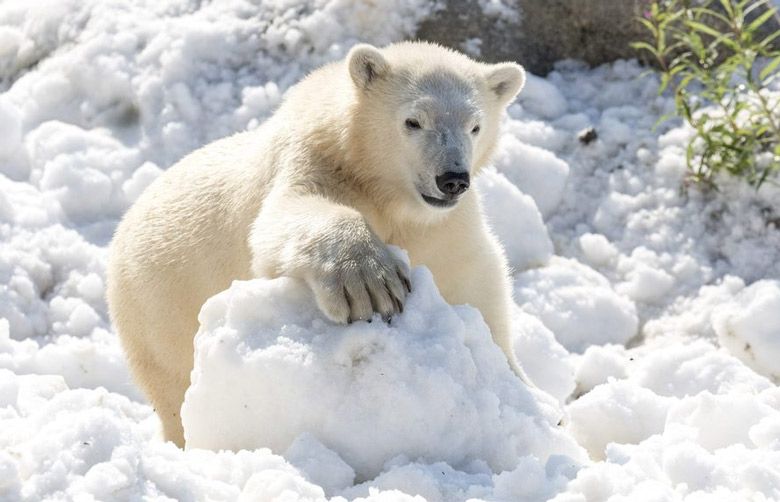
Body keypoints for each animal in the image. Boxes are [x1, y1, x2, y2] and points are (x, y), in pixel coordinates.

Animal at [107, 41, 530, 447]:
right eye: (413, 121)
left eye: (475, 126)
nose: (452, 178)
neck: (385, 188)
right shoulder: (316, 161)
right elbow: (285, 215)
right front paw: (369, 285)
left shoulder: (444, 224)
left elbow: (475, 278)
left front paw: (520, 385)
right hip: (158, 307)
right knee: (172, 384)